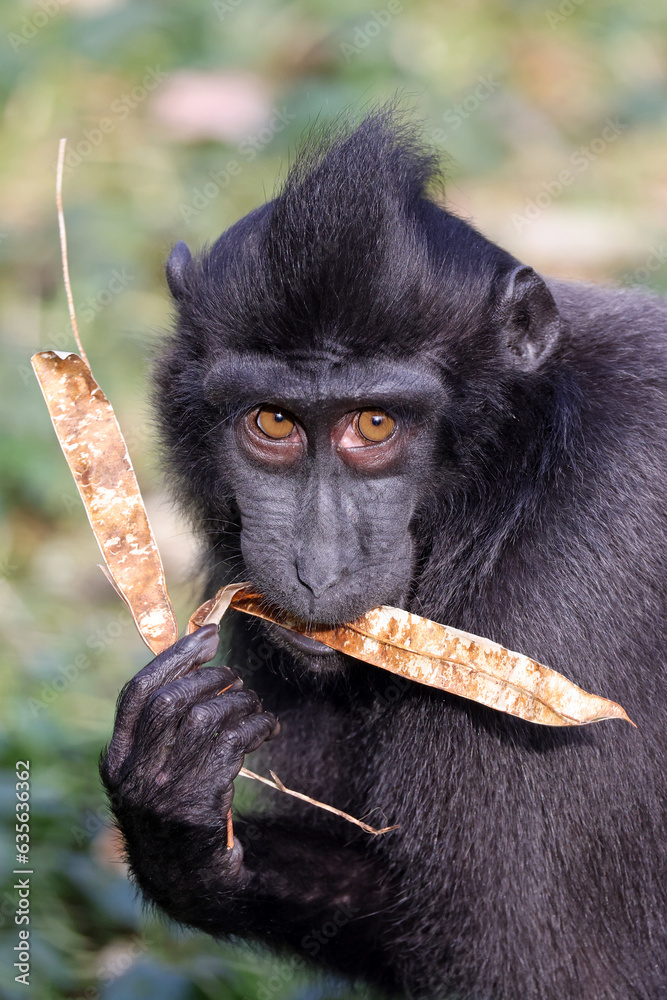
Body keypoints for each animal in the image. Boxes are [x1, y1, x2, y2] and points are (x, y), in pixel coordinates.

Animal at [101, 111, 667, 999]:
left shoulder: (566, 604)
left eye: (374, 424)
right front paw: (174, 806)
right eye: (272, 421)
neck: (519, 474)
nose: (316, 564)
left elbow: (554, 972)